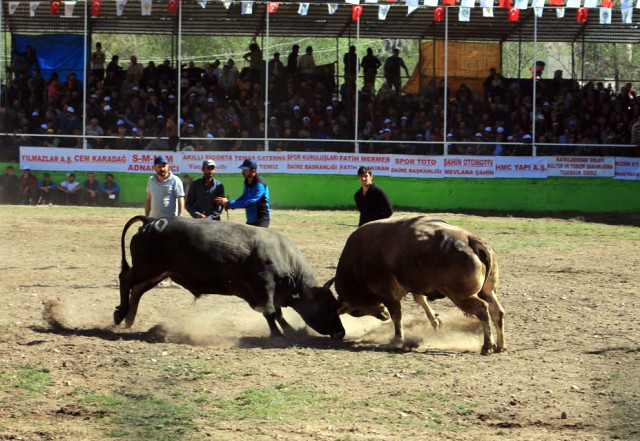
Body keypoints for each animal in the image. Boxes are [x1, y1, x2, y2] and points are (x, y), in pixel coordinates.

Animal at [115, 215, 344, 338]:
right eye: (330, 306)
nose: (341, 333)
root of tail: (152, 220)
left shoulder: (269, 293)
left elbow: (276, 312)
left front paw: (291, 330)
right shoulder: (265, 286)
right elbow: (270, 312)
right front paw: (278, 334)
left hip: (159, 272)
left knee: (137, 289)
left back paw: (129, 318)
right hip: (148, 268)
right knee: (125, 279)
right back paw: (120, 314)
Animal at [330, 215, 504, 356]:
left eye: (356, 311)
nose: (383, 315)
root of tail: (472, 240)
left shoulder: (386, 293)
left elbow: (397, 315)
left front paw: (397, 340)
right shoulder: (412, 284)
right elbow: (420, 299)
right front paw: (435, 321)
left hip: (462, 296)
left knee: (482, 310)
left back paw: (487, 346)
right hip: (488, 291)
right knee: (497, 311)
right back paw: (500, 346)